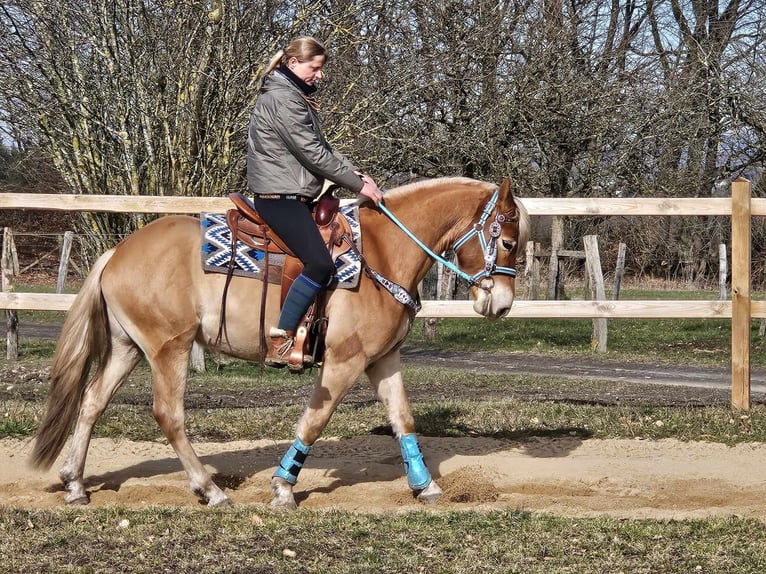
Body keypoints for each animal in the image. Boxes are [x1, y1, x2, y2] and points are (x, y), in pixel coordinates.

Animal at [33, 177, 532, 508]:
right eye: (508, 241)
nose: (502, 304)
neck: (382, 252)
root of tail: (117, 253)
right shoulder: (344, 362)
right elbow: (314, 421)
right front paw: (283, 486)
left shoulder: (382, 360)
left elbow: (402, 419)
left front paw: (425, 484)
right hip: (167, 348)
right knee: (168, 415)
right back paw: (209, 489)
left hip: (127, 348)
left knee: (92, 402)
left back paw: (75, 485)